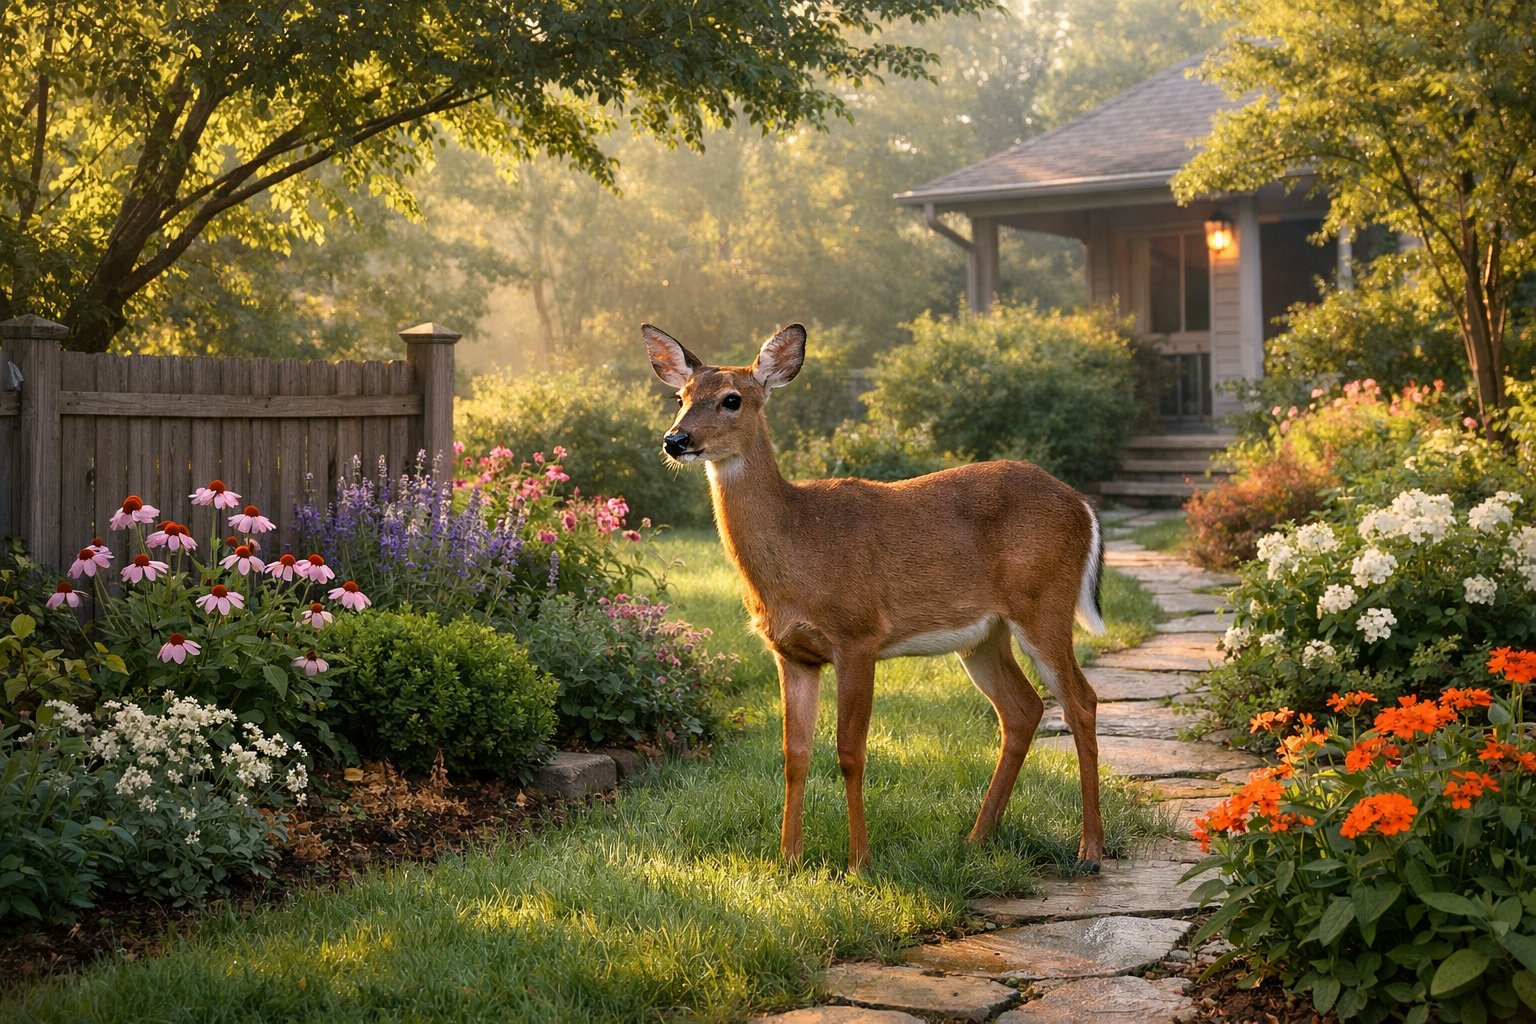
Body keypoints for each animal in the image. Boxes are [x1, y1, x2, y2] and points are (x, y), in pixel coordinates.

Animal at [642, 321, 1107, 872]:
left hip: (1044, 602)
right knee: (1023, 709)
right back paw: (976, 837)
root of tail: (1083, 506)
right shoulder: (792, 653)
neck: (800, 541)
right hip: (984, 635)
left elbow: (850, 750)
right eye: (681, 397)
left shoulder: (858, 634)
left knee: (1080, 700)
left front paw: (859, 861)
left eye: (732, 399)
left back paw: (1090, 849)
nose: (676, 440)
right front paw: (788, 858)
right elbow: (794, 753)